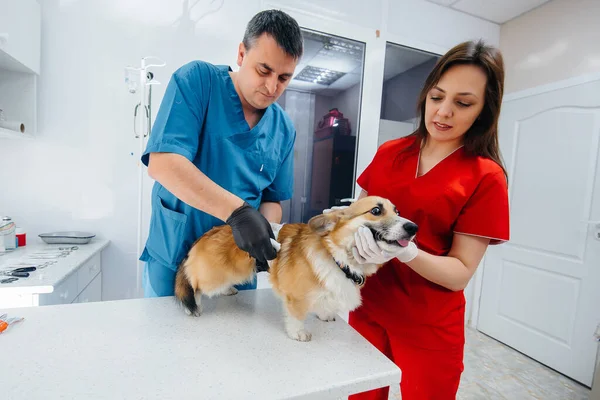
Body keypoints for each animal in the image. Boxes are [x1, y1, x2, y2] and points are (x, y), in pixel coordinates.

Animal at [173, 195, 418, 342]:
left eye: (397, 211)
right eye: (376, 210)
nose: (413, 227)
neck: (337, 257)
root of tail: (206, 234)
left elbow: (323, 303)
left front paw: (325, 314)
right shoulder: (296, 297)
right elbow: (297, 317)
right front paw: (299, 333)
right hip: (212, 277)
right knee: (192, 281)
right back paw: (192, 305)